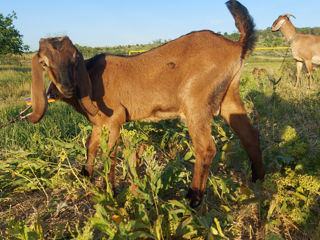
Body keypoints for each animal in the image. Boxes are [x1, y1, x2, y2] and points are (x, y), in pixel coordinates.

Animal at [26, 0, 264, 207]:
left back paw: (193, 198)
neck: (91, 78)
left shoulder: (115, 119)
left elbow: (110, 154)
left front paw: (111, 192)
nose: (67, 88)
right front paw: (85, 176)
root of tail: (236, 45)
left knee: (205, 148)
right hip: (229, 97)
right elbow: (91, 145)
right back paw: (259, 179)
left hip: (195, 100)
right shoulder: (99, 123)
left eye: (75, 60)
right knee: (250, 135)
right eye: (44, 63)